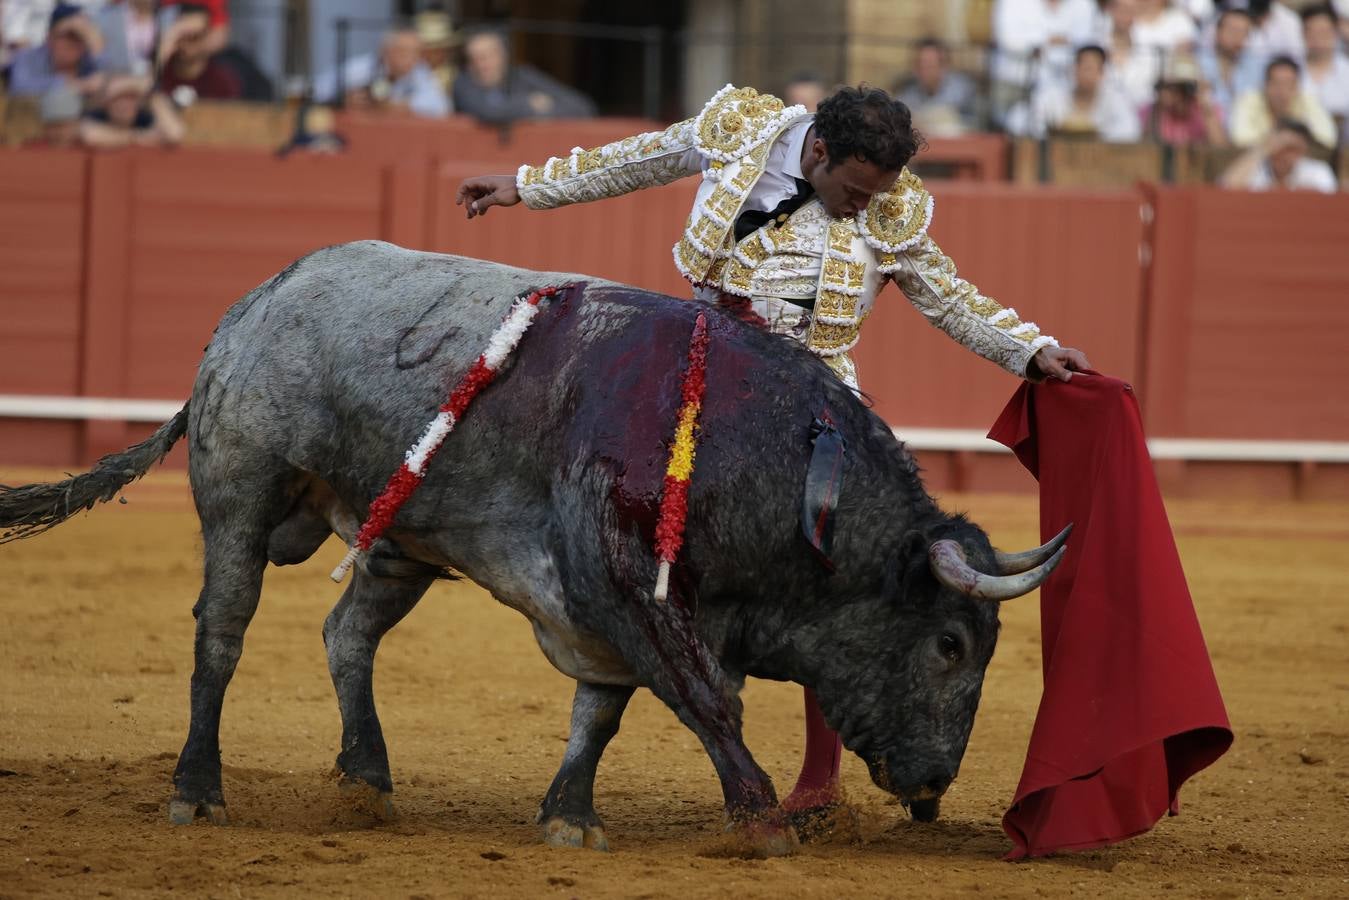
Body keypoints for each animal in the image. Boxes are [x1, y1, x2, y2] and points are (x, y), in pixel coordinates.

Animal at [0, 241, 1063, 858]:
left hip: (402, 538)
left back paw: (367, 779)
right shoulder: (629, 582)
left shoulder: (603, 605)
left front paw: (569, 815)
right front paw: (761, 819)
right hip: (240, 492)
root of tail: (253, 304)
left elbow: (602, 711)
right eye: (949, 645)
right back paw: (198, 790)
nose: (934, 785)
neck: (781, 465)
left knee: (348, 633)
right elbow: (700, 696)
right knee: (221, 632)